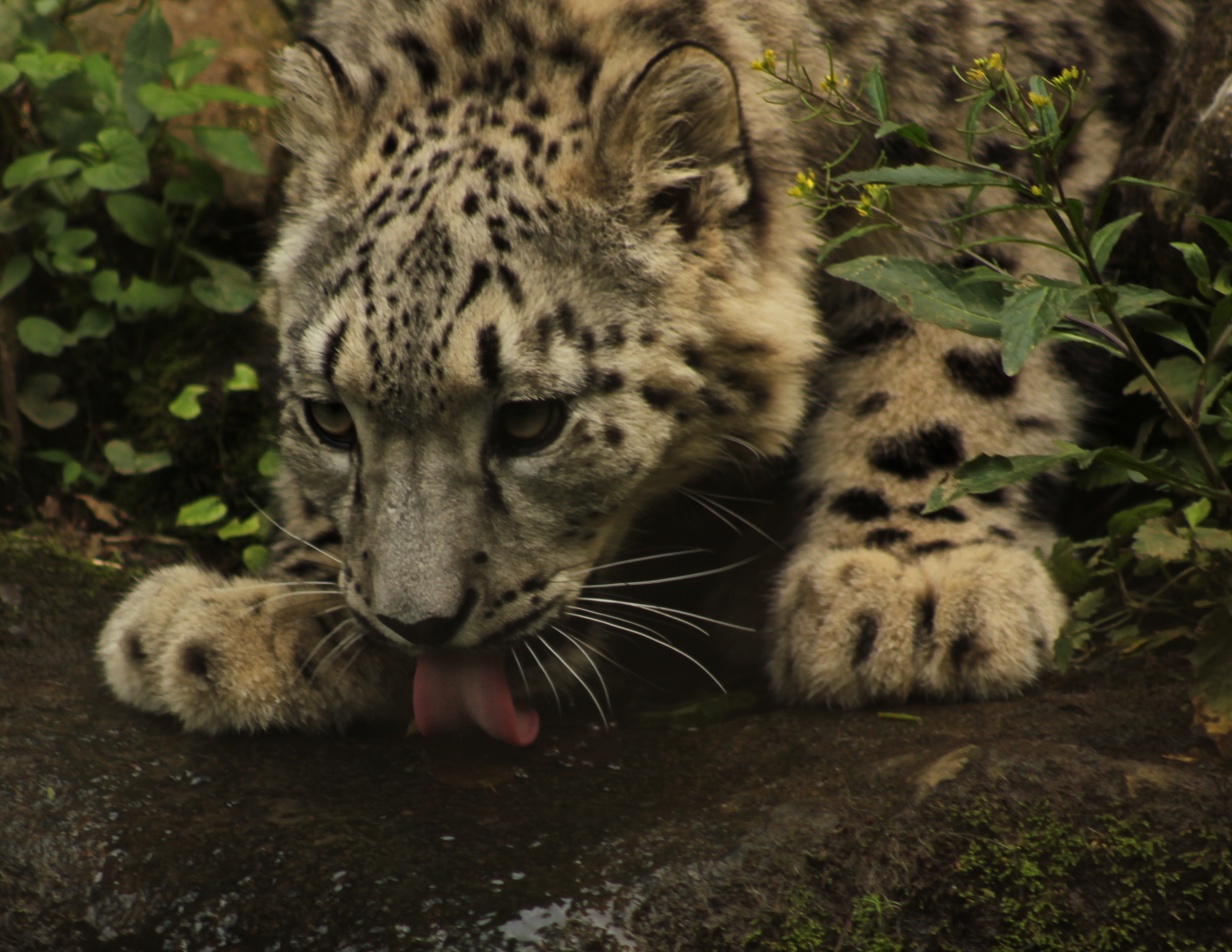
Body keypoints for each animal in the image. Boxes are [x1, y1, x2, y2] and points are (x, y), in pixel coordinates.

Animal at [98, 0, 1192, 743]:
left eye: (529, 421)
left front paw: (907, 590)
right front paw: (260, 615)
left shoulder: (980, 138)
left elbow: (959, 321)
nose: (418, 624)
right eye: (329, 417)